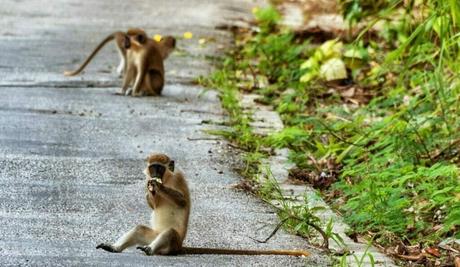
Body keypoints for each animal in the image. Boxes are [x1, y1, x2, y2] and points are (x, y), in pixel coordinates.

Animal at [96, 154, 310, 258]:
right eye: (152, 167)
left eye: (160, 167)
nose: (154, 173)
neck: (168, 178)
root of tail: (180, 247)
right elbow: (153, 205)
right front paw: (150, 188)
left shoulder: (179, 178)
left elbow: (182, 201)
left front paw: (158, 186)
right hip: (153, 235)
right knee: (140, 229)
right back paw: (115, 248)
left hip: (171, 243)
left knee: (170, 233)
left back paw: (149, 250)